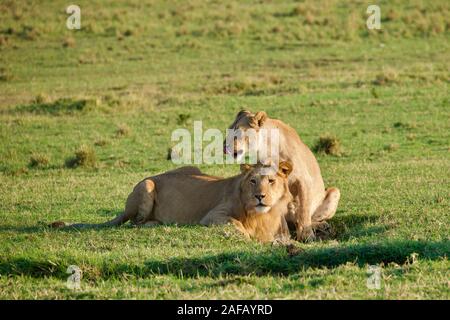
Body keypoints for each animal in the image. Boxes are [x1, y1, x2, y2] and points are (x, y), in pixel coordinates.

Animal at [52, 162, 294, 242]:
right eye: (253, 181)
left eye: (271, 181)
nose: (260, 196)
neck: (262, 214)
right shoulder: (212, 215)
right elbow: (237, 225)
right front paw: (248, 237)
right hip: (147, 185)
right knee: (135, 222)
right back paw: (155, 224)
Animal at [223, 111, 340, 241]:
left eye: (237, 132)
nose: (224, 147)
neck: (267, 149)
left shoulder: (304, 180)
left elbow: (304, 210)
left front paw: (307, 235)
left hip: (335, 191)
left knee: (309, 217)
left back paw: (320, 226)